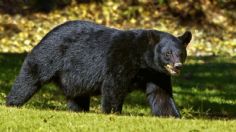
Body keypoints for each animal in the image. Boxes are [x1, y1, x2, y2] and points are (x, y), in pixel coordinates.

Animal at [6, 20, 192, 117]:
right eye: (168, 53)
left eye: (181, 53)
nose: (178, 66)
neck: (143, 60)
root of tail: (46, 33)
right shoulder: (120, 60)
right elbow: (114, 86)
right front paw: (113, 113)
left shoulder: (156, 73)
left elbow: (161, 94)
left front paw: (173, 116)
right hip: (49, 56)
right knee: (30, 78)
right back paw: (12, 103)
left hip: (74, 77)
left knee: (77, 95)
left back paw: (78, 110)